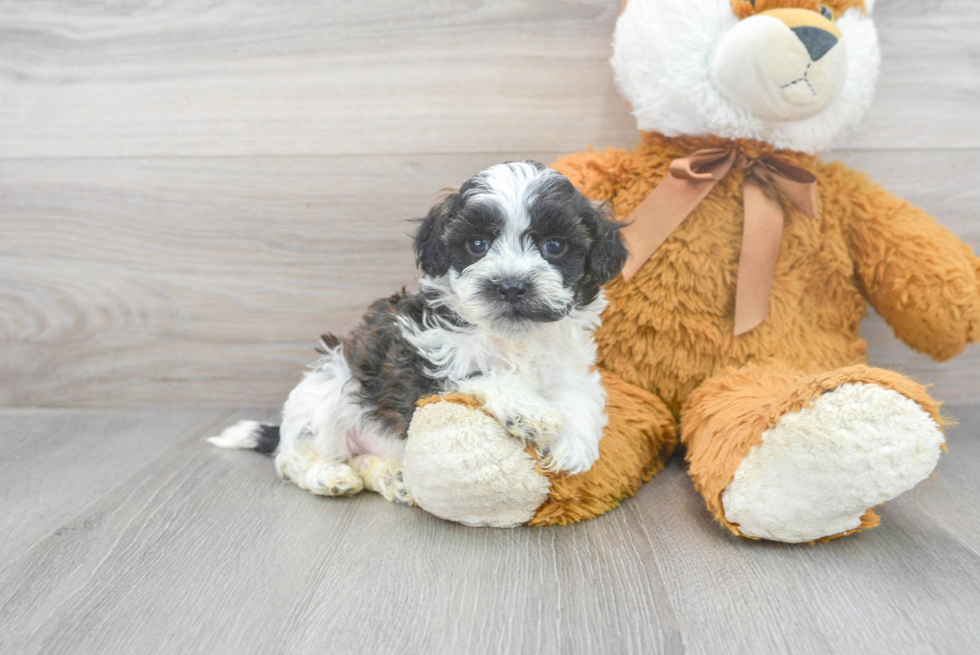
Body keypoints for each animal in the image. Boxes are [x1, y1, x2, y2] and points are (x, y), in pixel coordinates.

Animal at [211, 161, 632, 504]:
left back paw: (392, 479)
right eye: (477, 244)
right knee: (295, 457)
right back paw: (329, 476)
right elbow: (482, 373)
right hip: (327, 392)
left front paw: (574, 446)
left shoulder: (568, 365)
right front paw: (529, 410)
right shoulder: (424, 364)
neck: (510, 339)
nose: (511, 286)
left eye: (554, 245)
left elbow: (580, 395)